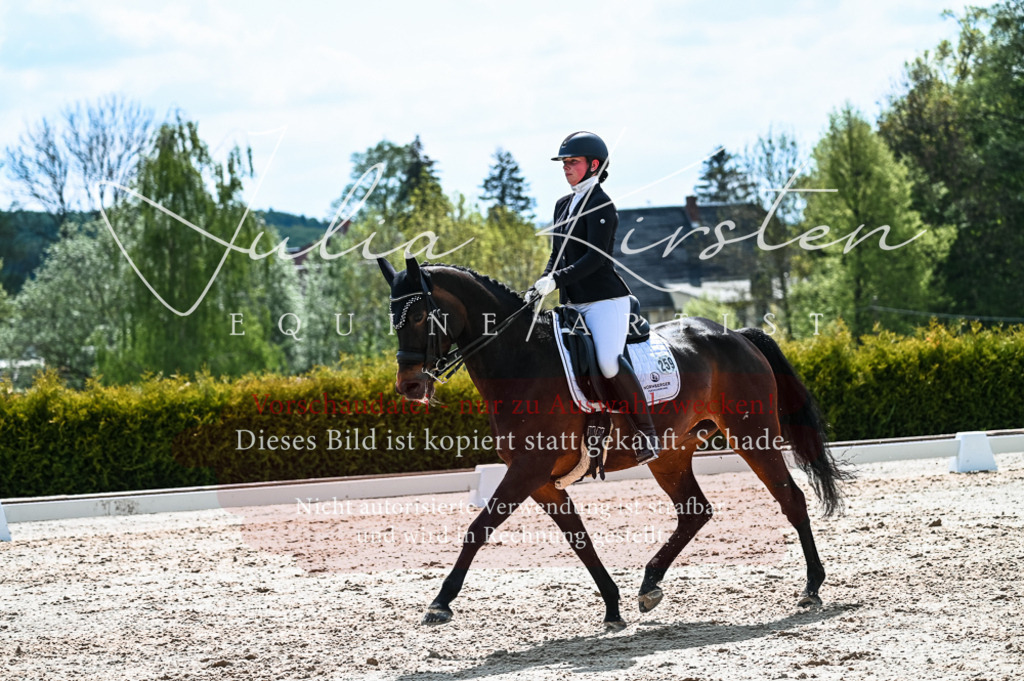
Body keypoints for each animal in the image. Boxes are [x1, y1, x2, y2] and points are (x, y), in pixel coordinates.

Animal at [378, 256, 849, 629]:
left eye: (419, 316)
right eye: (392, 319)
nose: (409, 386)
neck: (521, 360)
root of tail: (734, 334)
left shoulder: (528, 470)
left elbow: (479, 528)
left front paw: (440, 603)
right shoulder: (543, 480)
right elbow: (579, 540)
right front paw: (612, 606)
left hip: (752, 434)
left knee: (790, 498)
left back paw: (811, 587)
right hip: (671, 453)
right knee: (694, 511)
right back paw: (649, 583)